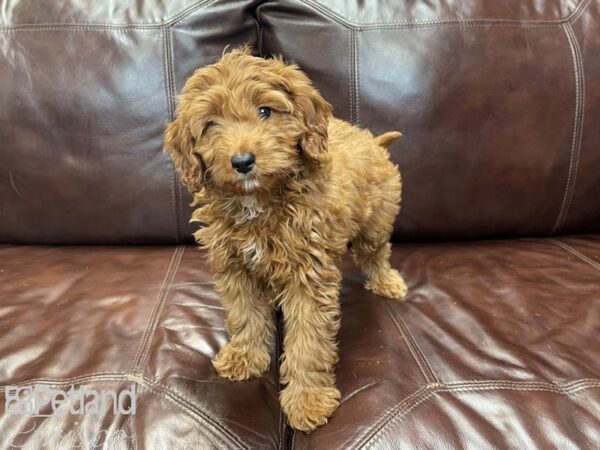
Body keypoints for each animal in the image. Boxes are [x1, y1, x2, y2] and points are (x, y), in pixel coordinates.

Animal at [164, 47, 408, 430]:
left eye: (265, 111)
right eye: (211, 124)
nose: (242, 161)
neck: (258, 202)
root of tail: (372, 141)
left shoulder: (309, 276)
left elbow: (308, 341)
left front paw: (307, 399)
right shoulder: (235, 267)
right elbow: (245, 315)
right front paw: (245, 355)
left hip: (377, 220)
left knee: (376, 252)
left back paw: (387, 281)